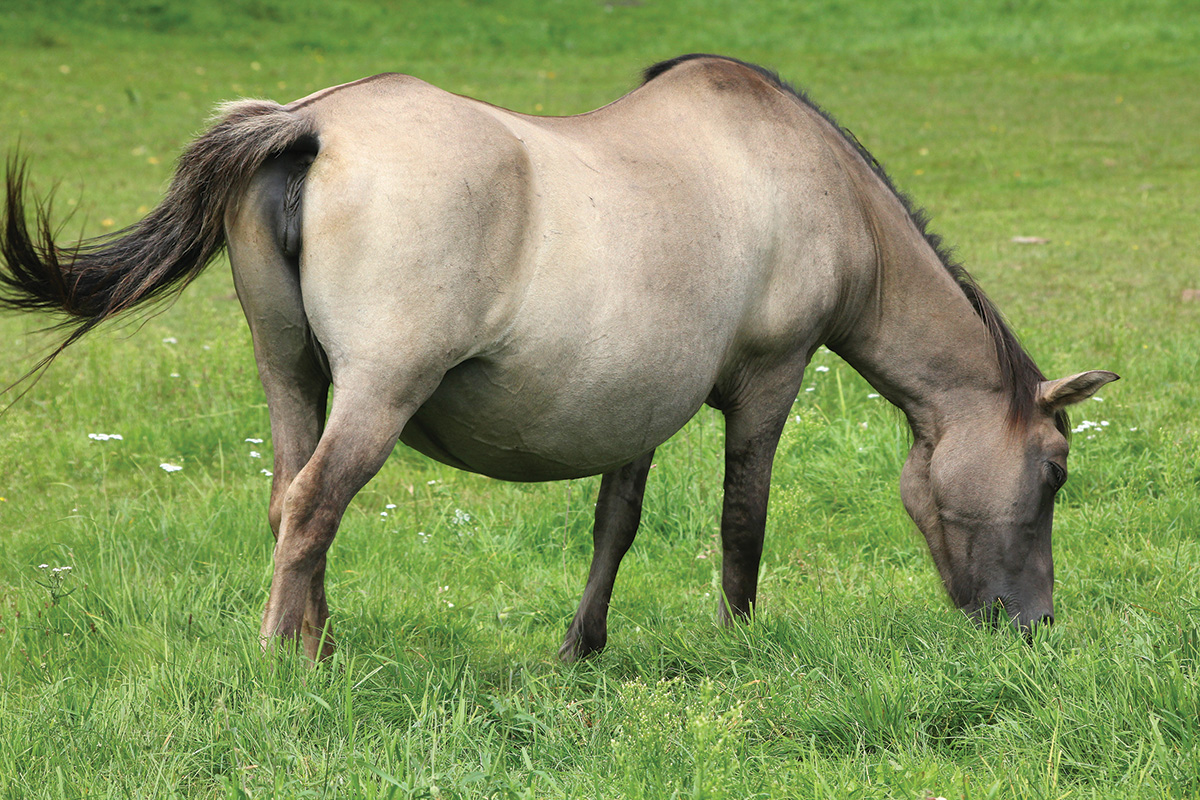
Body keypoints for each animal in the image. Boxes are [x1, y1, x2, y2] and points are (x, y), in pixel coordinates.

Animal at [4, 54, 1118, 657]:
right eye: (1055, 471)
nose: (1034, 624)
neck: (810, 183)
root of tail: (309, 124)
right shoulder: (770, 378)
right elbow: (743, 520)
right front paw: (741, 640)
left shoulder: (636, 402)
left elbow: (613, 526)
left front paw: (581, 646)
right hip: (375, 394)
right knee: (316, 503)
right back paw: (287, 658)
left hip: (291, 376)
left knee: (288, 503)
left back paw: (319, 645)